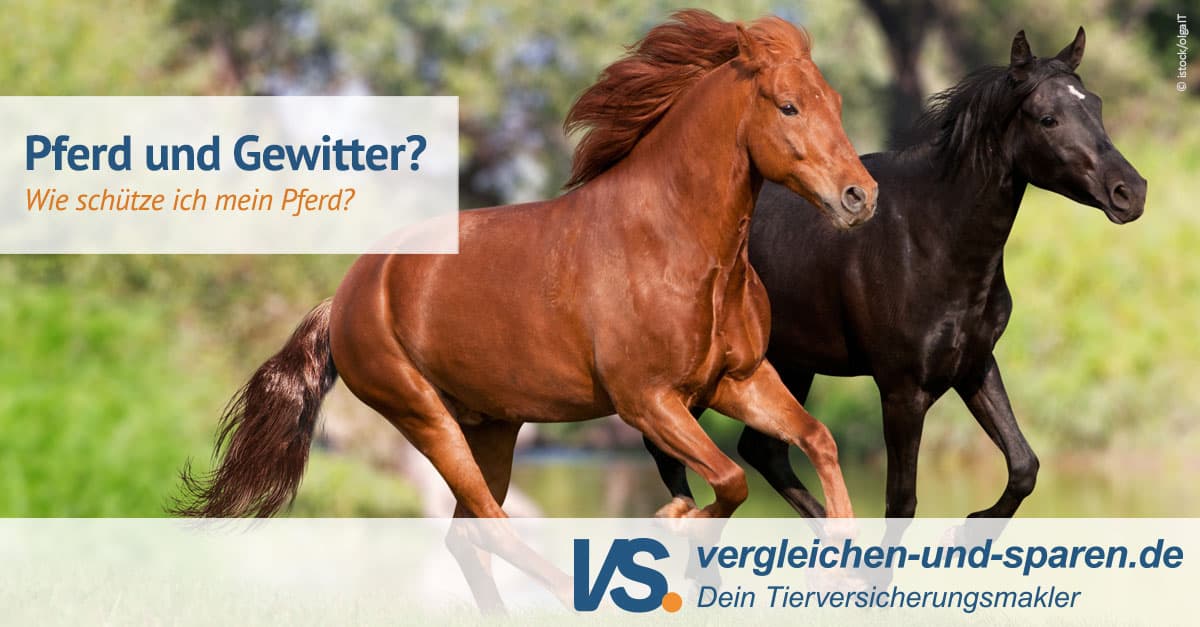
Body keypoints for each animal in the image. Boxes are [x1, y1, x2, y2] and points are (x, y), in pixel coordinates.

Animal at [646, 27, 1147, 520]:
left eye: (1095, 105)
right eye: (1048, 118)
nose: (1131, 192)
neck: (932, 239)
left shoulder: (974, 365)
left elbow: (1024, 465)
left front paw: (970, 524)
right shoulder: (902, 390)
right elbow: (901, 501)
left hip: (788, 367)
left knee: (761, 451)